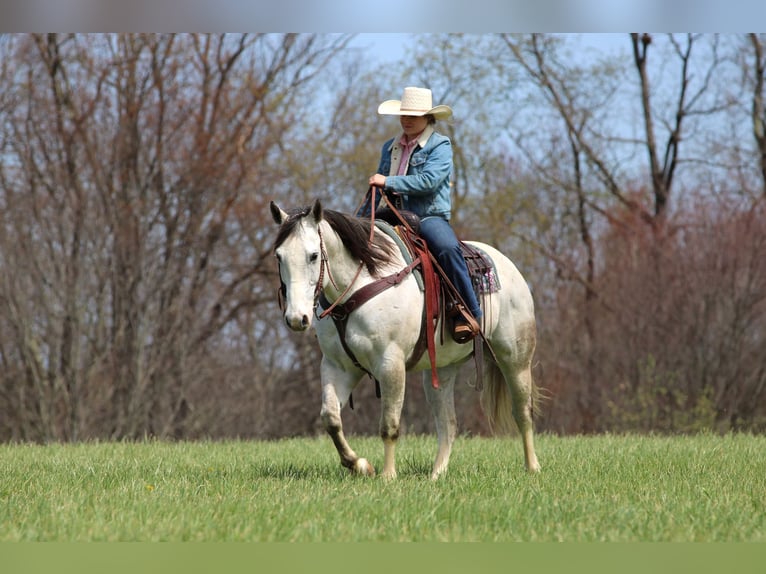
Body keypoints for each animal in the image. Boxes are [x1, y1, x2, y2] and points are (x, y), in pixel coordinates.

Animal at [270, 199, 540, 479]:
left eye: (313, 255)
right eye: (279, 256)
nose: (296, 318)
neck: (361, 284)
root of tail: (508, 266)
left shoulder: (391, 363)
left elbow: (389, 425)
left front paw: (388, 475)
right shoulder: (337, 367)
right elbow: (331, 419)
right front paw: (360, 465)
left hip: (516, 360)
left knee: (523, 412)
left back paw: (532, 467)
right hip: (442, 371)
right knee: (448, 424)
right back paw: (436, 476)